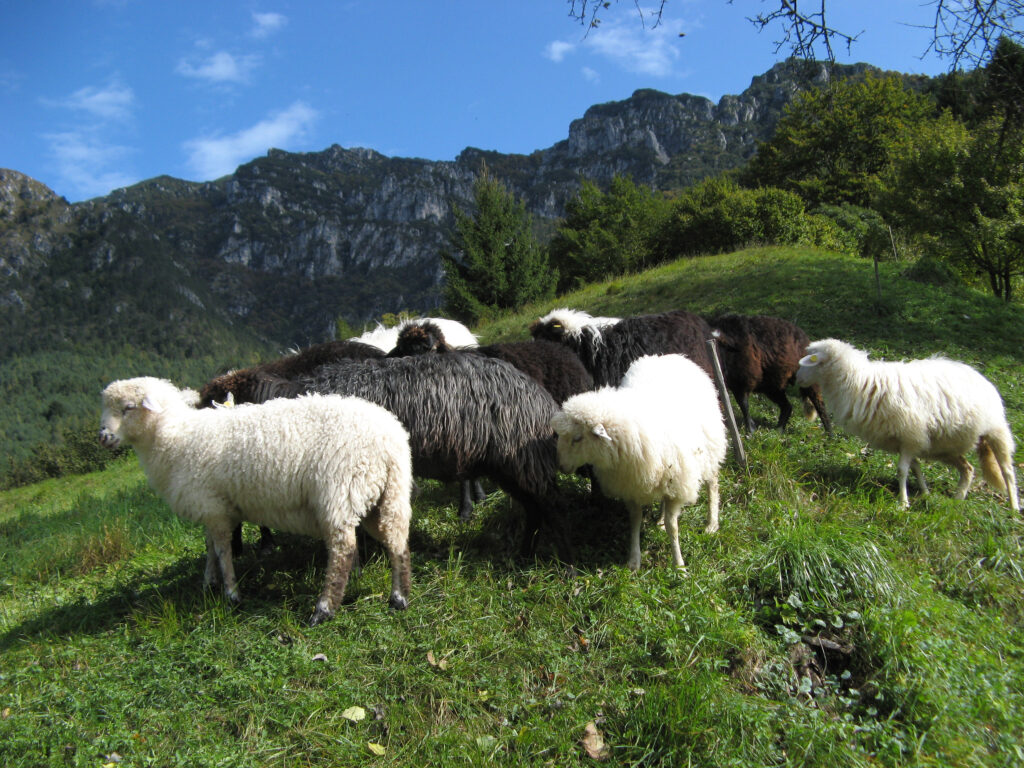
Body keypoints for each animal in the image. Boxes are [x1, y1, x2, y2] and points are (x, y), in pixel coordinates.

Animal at [98, 378, 411, 626]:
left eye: (128, 407)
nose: (103, 437)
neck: (174, 436)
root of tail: (389, 438)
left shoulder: (213, 507)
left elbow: (222, 550)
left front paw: (231, 594)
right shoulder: (211, 506)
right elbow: (209, 547)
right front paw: (208, 583)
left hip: (339, 490)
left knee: (342, 550)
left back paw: (324, 609)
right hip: (386, 492)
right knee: (396, 540)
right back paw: (398, 597)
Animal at [552, 354, 729, 573]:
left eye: (577, 438)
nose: (560, 465)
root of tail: (673, 356)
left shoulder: (678, 483)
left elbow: (673, 527)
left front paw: (678, 565)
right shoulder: (632, 486)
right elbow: (635, 521)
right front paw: (634, 560)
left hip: (709, 449)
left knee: (712, 484)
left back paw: (711, 523)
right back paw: (660, 520)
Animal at [794, 337, 1019, 512]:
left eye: (812, 361)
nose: (797, 378)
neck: (860, 382)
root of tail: (979, 375)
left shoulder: (911, 434)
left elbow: (902, 470)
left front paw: (903, 503)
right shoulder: (907, 440)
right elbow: (915, 467)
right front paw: (925, 493)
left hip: (996, 430)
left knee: (1007, 469)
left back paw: (1014, 506)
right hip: (945, 447)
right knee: (968, 468)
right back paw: (957, 499)